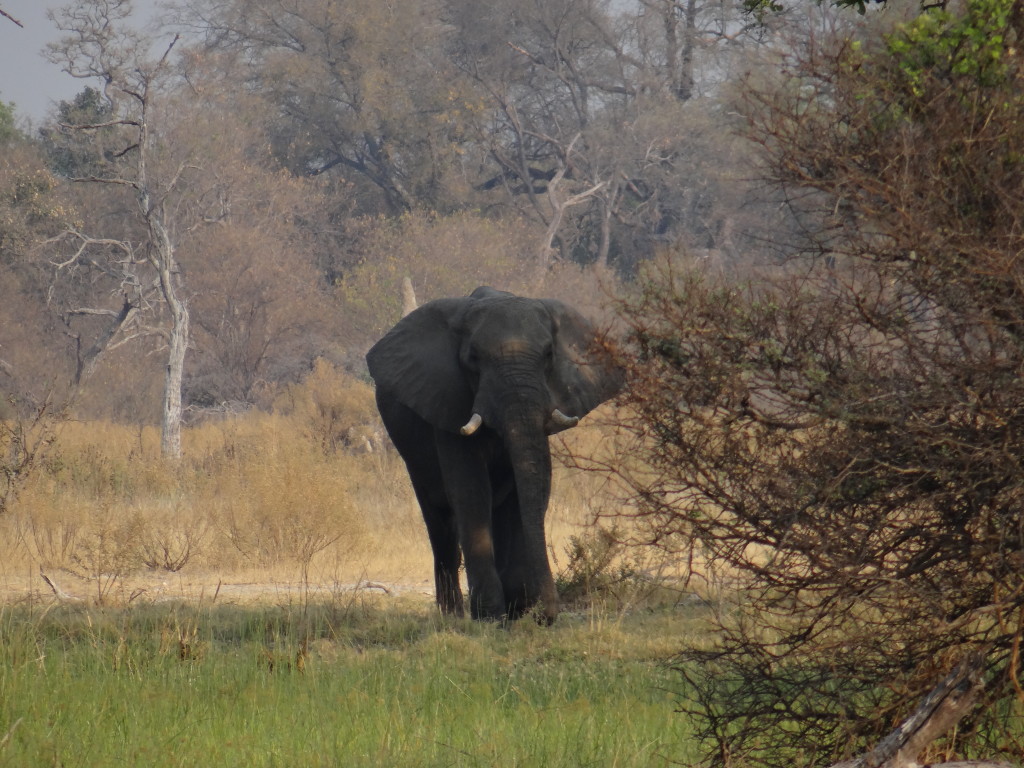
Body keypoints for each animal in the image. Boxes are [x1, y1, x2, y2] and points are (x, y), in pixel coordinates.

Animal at [366, 286, 622, 623]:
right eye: (473, 358)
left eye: (549, 355)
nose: (546, 616)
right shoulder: (450, 400)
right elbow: (471, 491)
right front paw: (489, 616)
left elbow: (531, 487)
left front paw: (517, 608)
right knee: (440, 522)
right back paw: (452, 615)